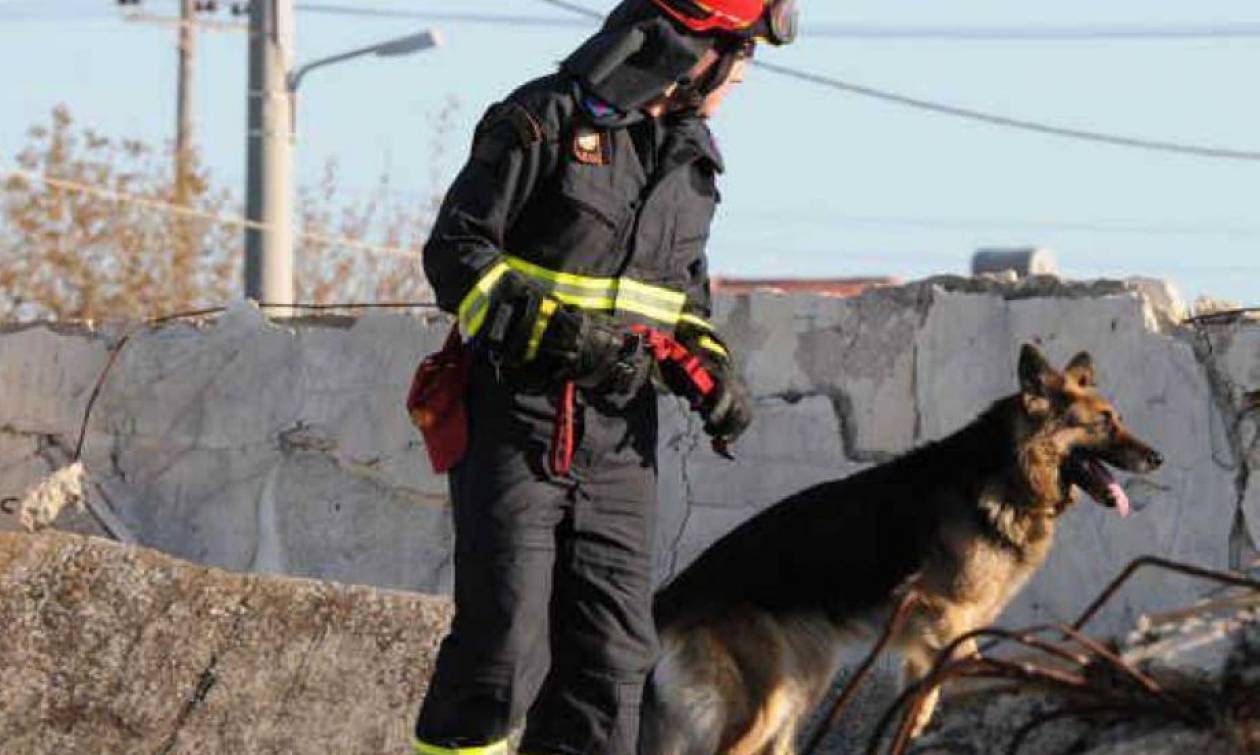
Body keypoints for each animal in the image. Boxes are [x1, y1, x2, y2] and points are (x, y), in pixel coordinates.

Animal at [645, 345, 1164, 751]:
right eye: (1103, 423)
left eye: (1119, 419)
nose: (1157, 458)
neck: (1008, 474)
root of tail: (668, 597)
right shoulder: (945, 616)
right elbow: (986, 665)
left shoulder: (925, 650)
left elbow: (915, 717)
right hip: (764, 704)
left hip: (798, 687)